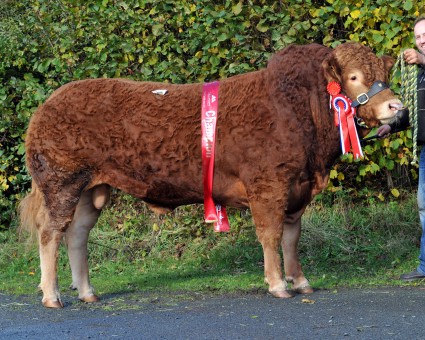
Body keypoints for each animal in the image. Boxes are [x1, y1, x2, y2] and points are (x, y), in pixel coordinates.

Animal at [19, 42, 400, 308]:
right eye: (353, 77)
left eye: (384, 74)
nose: (395, 106)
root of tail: (49, 103)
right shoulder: (269, 184)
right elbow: (271, 235)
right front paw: (278, 284)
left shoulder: (297, 188)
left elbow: (292, 237)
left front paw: (301, 281)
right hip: (61, 182)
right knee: (50, 234)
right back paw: (52, 296)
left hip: (92, 189)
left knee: (77, 235)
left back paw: (88, 293)